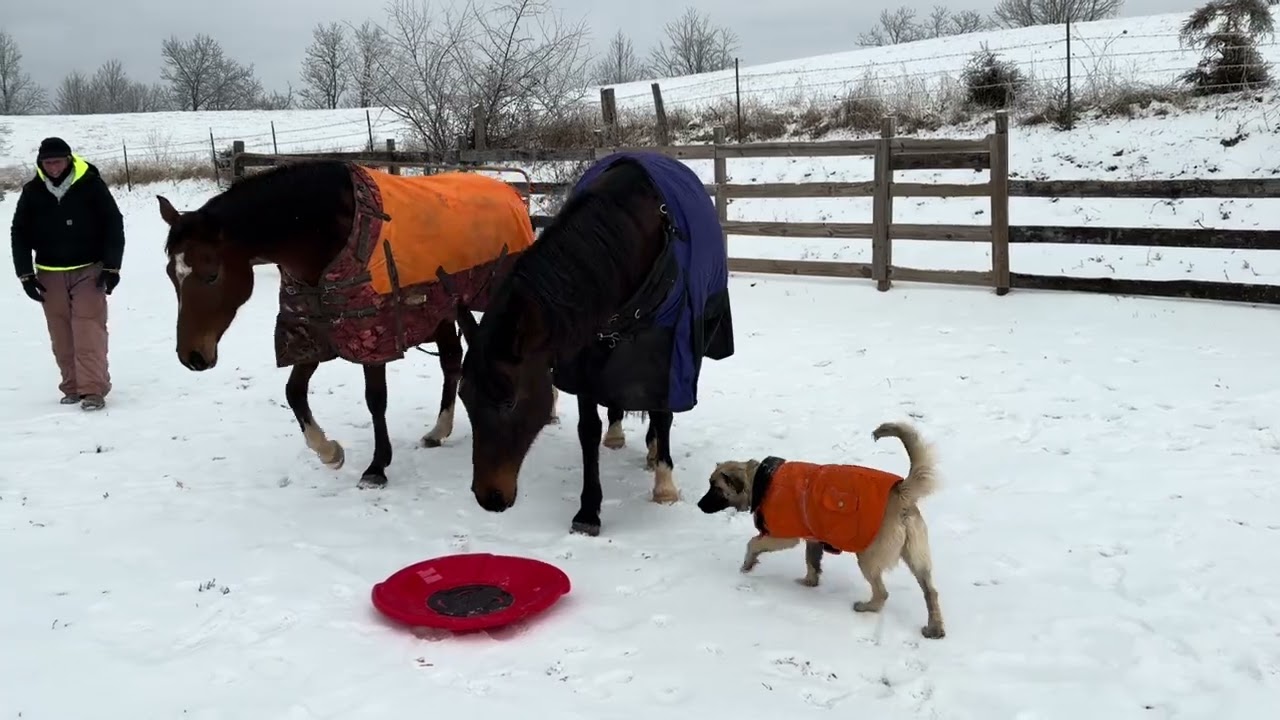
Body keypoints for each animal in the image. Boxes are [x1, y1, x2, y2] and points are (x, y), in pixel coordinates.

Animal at [157, 158, 539, 488]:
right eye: (171, 275)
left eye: (211, 275)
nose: (192, 357)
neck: (327, 235)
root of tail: (512, 195)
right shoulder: (312, 331)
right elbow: (294, 392)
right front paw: (330, 452)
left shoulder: (374, 334)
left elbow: (376, 399)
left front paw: (376, 467)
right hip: (445, 305)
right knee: (452, 360)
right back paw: (439, 430)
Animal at [452, 151, 735, 536]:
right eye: (464, 396)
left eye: (509, 402)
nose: (489, 498)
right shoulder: (583, 354)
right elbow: (588, 430)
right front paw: (588, 510)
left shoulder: (670, 349)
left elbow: (662, 412)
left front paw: (664, 485)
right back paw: (616, 435)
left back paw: (652, 451)